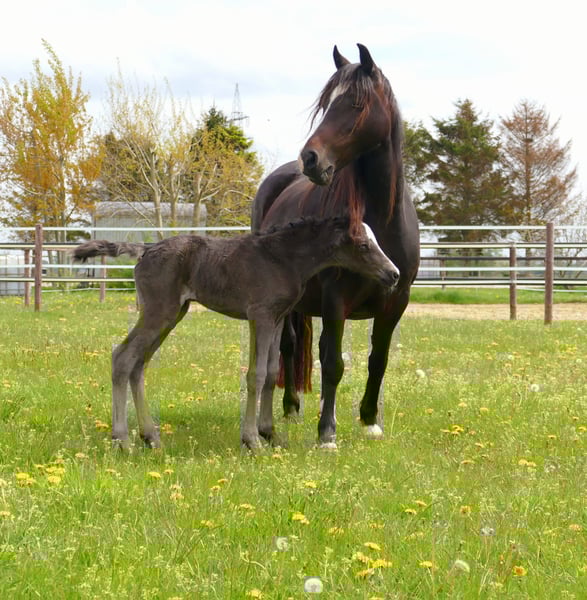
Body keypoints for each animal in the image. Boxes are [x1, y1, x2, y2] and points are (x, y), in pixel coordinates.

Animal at [73, 217, 400, 449]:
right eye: (363, 245)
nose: (394, 274)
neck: (283, 258)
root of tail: (146, 249)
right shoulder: (261, 316)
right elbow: (256, 374)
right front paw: (252, 440)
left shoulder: (277, 318)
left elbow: (271, 372)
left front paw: (271, 434)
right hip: (159, 312)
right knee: (123, 357)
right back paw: (122, 440)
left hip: (173, 314)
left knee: (138, 364)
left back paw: (150, 436)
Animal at [251, 44, 420, 448]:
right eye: (327, 104)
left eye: (356, 105)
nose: (311, 159)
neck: (381, 223)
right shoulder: (335, 298)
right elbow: (332, 363)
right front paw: (327, 432)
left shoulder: (396, 300)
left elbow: (378, 360)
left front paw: (370, 420)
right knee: (290, 346)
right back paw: (292, 406)